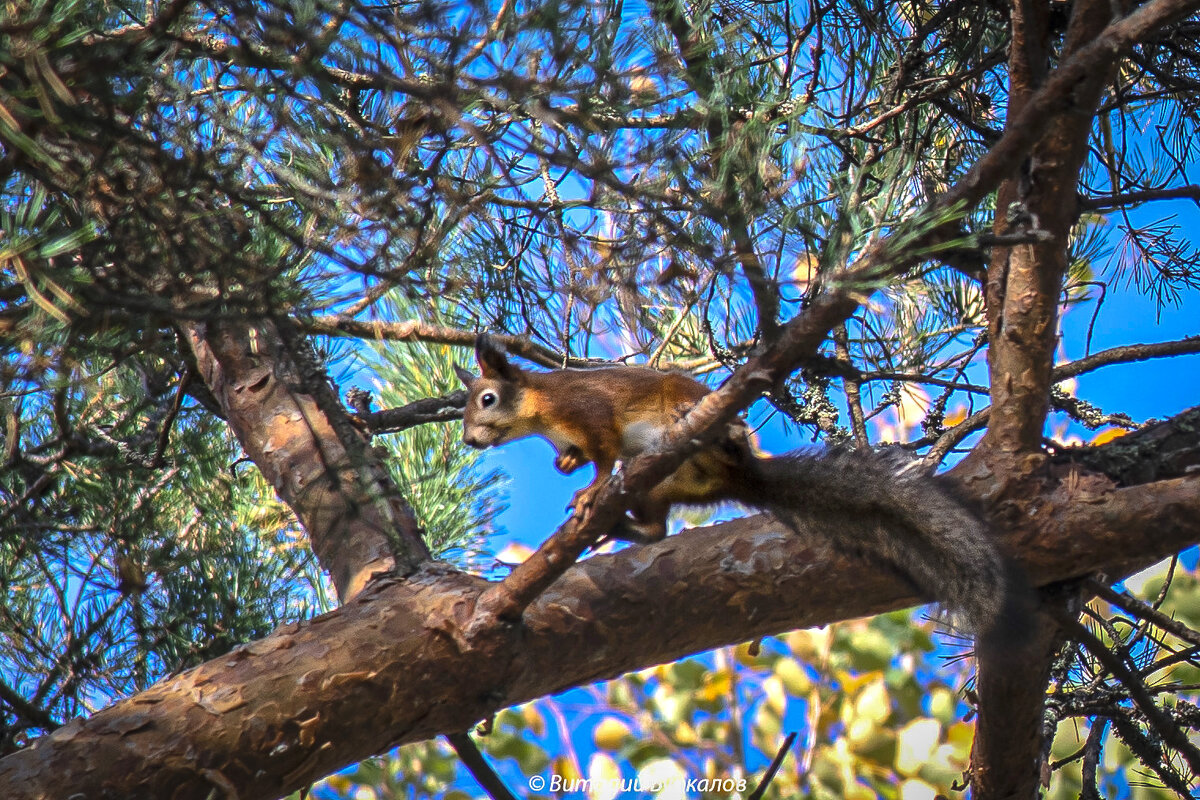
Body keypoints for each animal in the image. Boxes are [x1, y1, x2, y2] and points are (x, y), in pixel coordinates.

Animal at [456, 335, 1032, 642]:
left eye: (487, 399)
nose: (468, 440)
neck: (542, 410)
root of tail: (740, 476)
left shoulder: (590, 413)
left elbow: (602, 457)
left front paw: (591, 490)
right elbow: (580, 459)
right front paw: (565, 466)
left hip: (692, 421)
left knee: (707, 446)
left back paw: (700, 432)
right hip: (657, 489)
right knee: (655, 530)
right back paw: (620, 525)